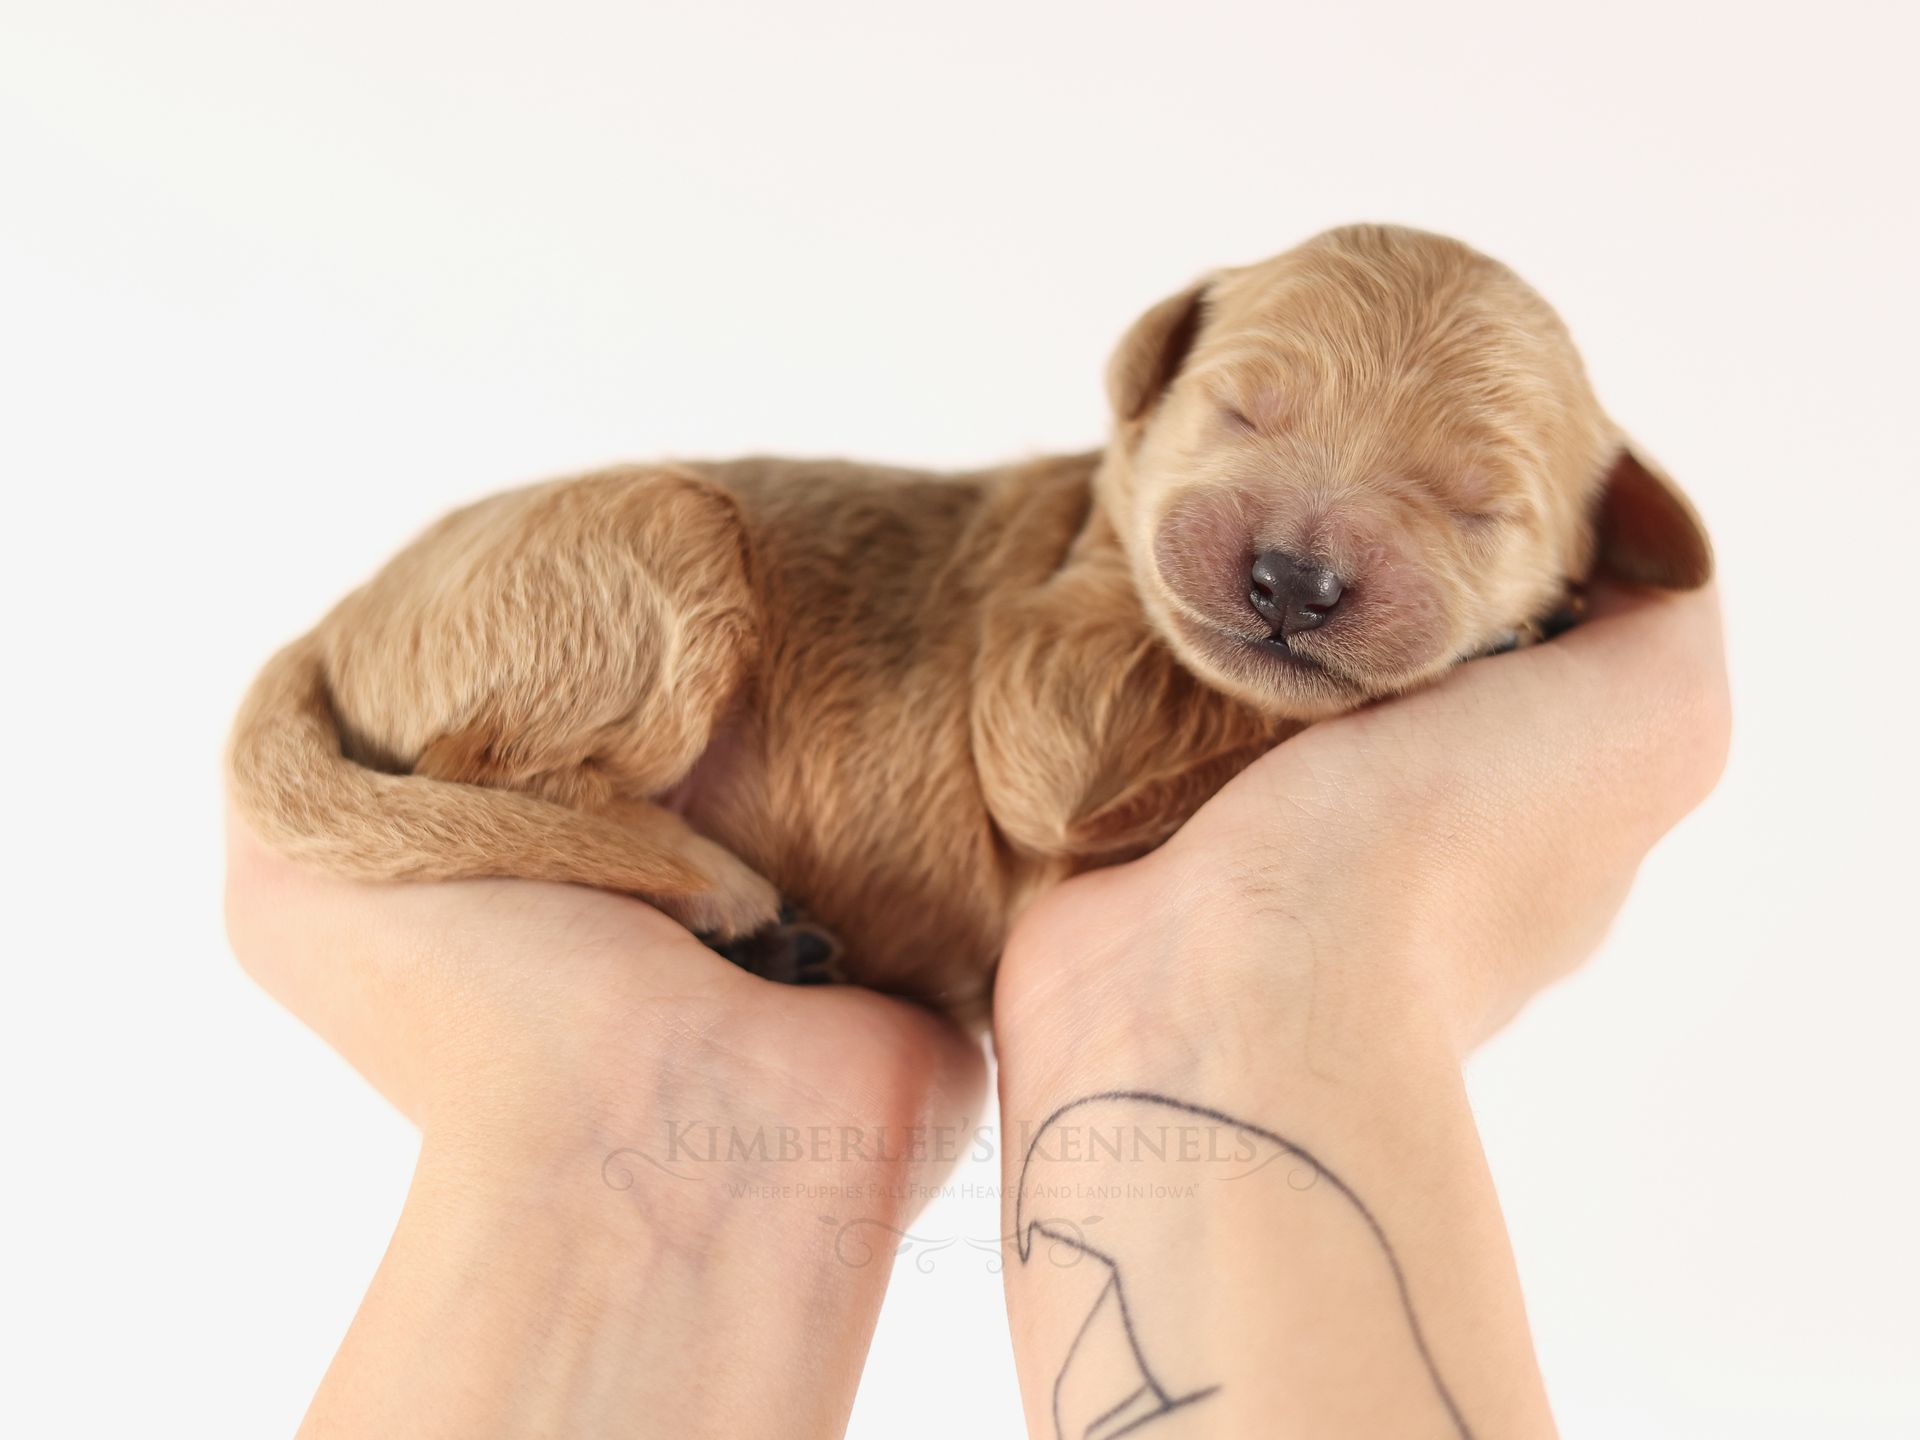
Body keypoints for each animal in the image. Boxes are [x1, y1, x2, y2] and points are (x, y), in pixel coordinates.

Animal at [228, 224, 1712, 1022]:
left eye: (1479, 505)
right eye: (1238, 409)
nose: (1291, 582)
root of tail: (336, 619)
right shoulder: (1043, 695)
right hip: (656, 541)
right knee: (484, 771)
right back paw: (717, 890)